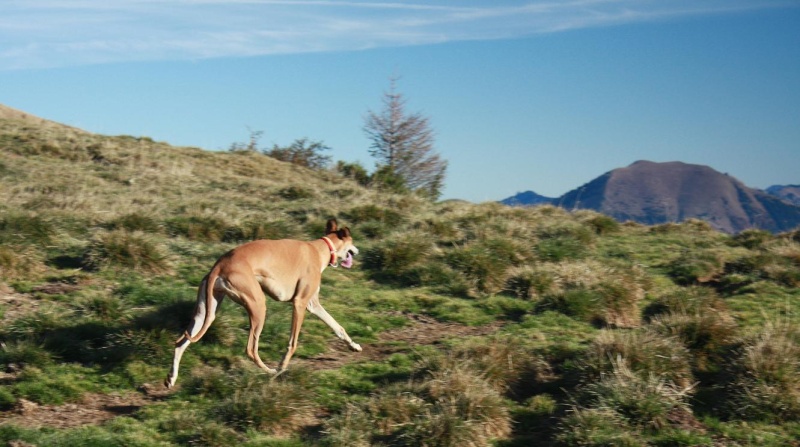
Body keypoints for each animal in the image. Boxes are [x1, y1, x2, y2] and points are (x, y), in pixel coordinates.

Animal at [165, 218, 360, 388]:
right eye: (352, 241)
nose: (357, 251)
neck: (320, 249)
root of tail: (219, 265)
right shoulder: (300, 303)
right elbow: (293, 342)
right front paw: (282, 366)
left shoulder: (313, 304)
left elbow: (338, 327)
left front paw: (354, 346)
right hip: (258, 306)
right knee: (251, 349)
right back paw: (270, 371)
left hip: (206, 312)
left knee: (180, 342)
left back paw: (171, 378)